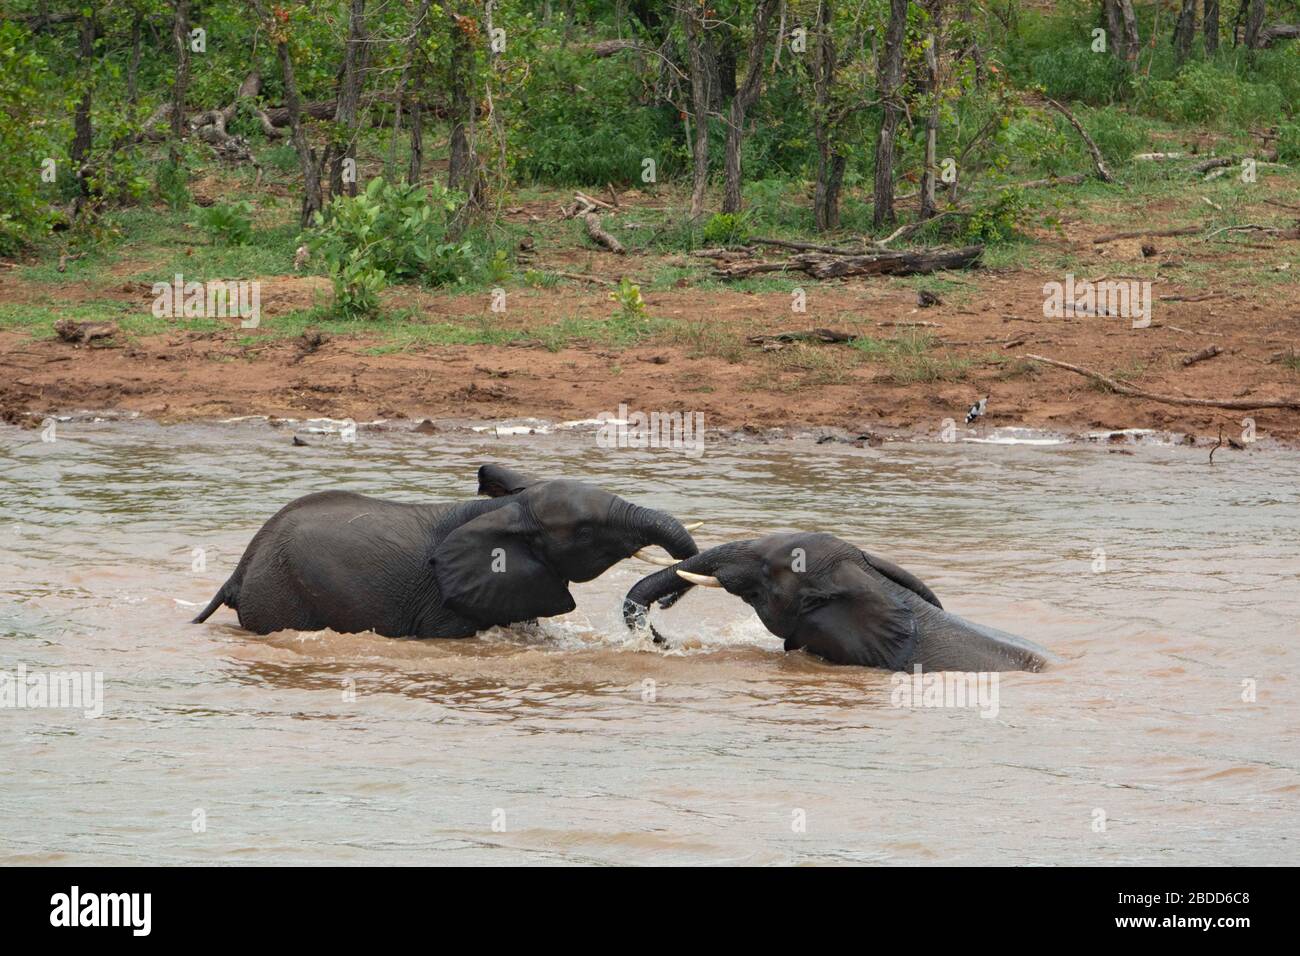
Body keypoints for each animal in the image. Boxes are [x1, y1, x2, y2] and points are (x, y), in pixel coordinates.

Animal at [189, 463, 702, 634]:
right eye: (585, 532)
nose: (659, 630)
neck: (507, 507)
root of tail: (239, 569)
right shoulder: (444, 604)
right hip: (280, 597)